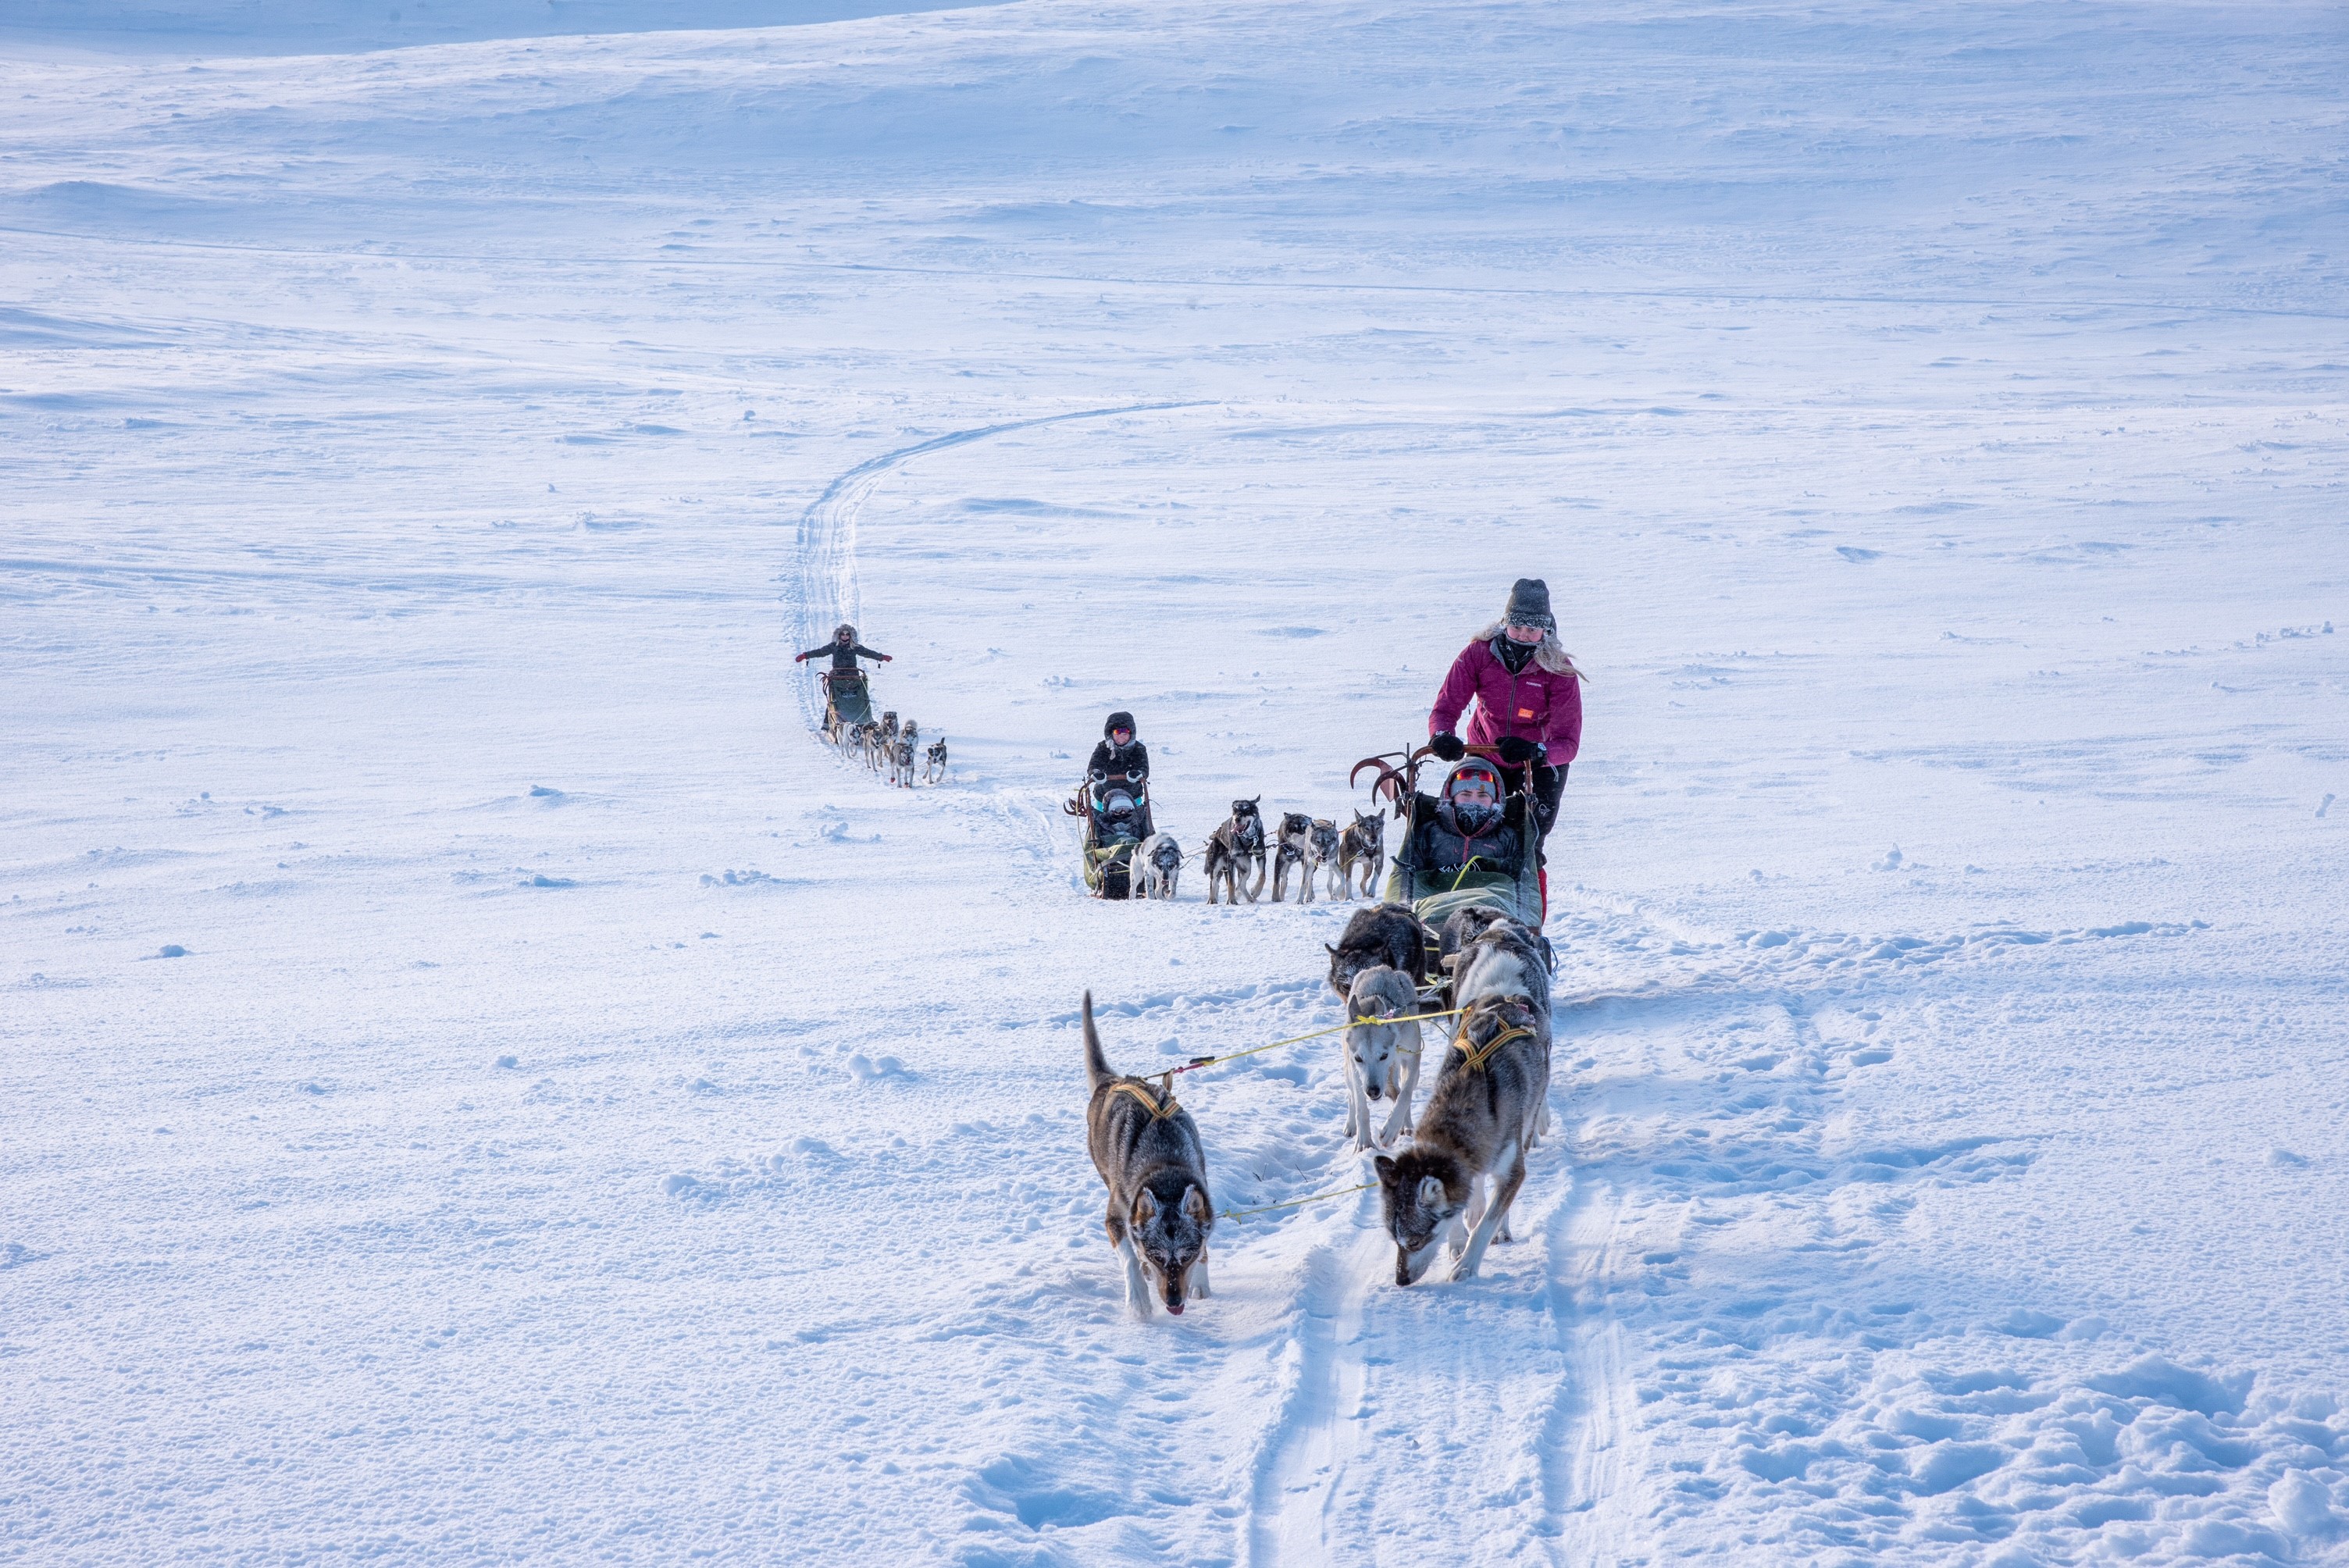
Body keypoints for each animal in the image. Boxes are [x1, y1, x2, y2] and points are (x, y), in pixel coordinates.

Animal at [1075, 1000, 1212, 1314]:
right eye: (1157, 1256)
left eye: (1186, 1257)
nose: (1174, 1302)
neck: (1165, 1165)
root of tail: (1112, 1081)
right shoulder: (1116, 1217)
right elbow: (1129, 1256)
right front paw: (1138, 1297)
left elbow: (1204, 1246)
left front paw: (1200, 1281)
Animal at [1212, 798, 1268, 906]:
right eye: (1235, 810)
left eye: (1247, 810)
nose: (1237, 819)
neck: (1247, 839)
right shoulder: (1231, 859)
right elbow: (1231, 883)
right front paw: (1231, 900)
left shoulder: (1260, 854)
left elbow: (1262, 876)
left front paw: (1256, 891)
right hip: (1217, 866)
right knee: (1214, 882)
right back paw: (1212, 899)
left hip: (1246, 868)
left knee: (1242, 885)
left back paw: (1250, 898)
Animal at [1353, 967, 1418, 1149]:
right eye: (1358, 1058)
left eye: (1384, 1055)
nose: (1372, 1090)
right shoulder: (1354, 1067)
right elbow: (1361, 1107)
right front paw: (1364, 1142)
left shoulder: (1412, 1058)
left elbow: (1405, 1095)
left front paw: (1392, 1128)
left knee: (1400, 1092)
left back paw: (1406, 1125)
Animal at [1371, 1000, 1550, 1277]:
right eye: (1394, 1240)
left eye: (1415, 1241)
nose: (1400, 1280)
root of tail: (1512, 1002)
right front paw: (1457, 1243)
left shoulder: (1512, 1168)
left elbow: (1487, 1224)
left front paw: (1466, 1266)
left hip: (1528, 1120)